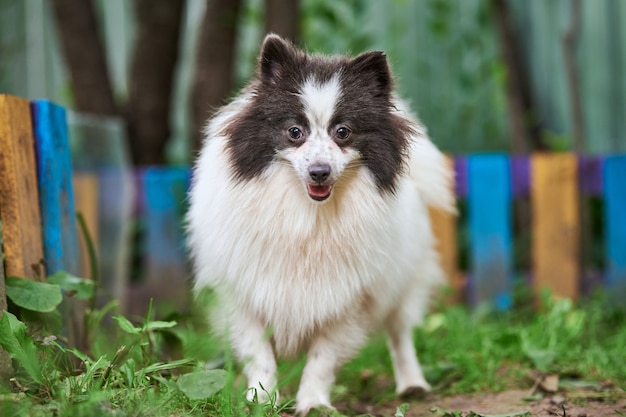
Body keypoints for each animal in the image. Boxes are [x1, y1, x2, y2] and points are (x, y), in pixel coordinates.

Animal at [185, 33, 454, 412]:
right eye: (294, 131)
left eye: (343, 132)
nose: (319, 171)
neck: (307, 214)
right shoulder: (245, 294)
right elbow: (259, 353)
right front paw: (261, 399)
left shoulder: (346, 301)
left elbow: (321, 359)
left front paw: (313, 403)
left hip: (403, 282)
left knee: (400, 333)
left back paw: (412, 384)